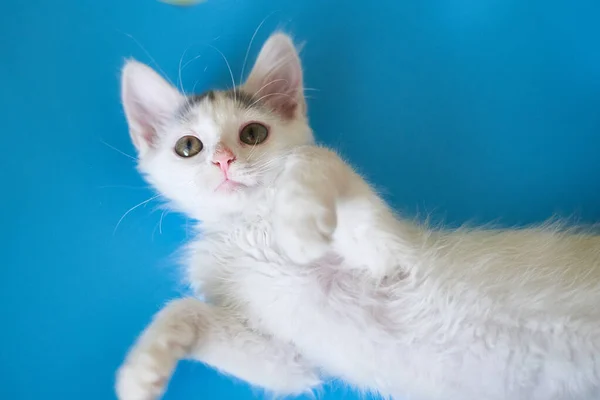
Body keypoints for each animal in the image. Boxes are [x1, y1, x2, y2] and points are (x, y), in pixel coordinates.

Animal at [115, 32, 600, 400]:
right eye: (189, 147)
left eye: (252, 134)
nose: (224, 160)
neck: (251, 225)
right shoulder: (291, 358)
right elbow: (197, 316)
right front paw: (143, 368)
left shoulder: (389, 256)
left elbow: (312, 158)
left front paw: (298, 224)